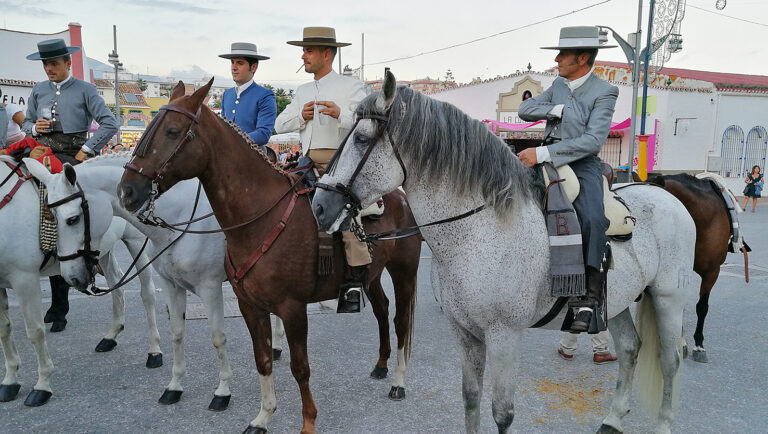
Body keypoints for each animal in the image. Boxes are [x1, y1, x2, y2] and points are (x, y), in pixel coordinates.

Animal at [0, 156, 160, 406]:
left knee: (147, 294)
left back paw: (154, 350)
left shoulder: (25, 280)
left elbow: (35, 332)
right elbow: (4, 331)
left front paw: (42, 385)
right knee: (116, 286)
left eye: (72, 219)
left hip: (135, 242)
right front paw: (10, 381)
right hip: (100, 251)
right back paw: (111, 335)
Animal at [25, 154, 286, 412]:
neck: (181, 220)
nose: (71, 277)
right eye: (49, 218)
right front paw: (174, 387)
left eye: (72, 219)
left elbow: (217, 338)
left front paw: (222, 392)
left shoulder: (210, 289)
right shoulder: (172, 285)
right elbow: (177, 333)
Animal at [118, 79, 420, 432]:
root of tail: (400, 193)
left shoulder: (291, 308)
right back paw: (381, 365)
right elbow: (261, 360)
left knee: (401, 321)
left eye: (172, 131)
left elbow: (300, 367)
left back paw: (398, 381)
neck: (259, 217)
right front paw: (263, 416)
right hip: (371, 274)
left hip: (404, 271)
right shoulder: (249, 306)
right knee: (382, 309)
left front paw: (308, 422)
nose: (127, 190)